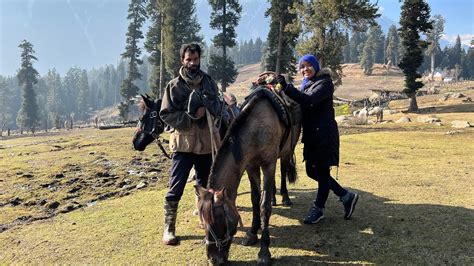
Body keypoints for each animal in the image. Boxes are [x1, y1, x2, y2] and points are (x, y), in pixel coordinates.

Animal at [195, 86, 302, 264]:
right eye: (203, 223)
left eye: (218, 222)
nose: (213, 259)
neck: (256, 129)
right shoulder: (251, 166)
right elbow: (255, 199)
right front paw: (252, 232)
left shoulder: (268, 165)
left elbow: (264, 206)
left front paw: (264, 250)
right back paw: (274, 198)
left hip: (287, 151)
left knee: (283, 171)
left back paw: (285, 197)